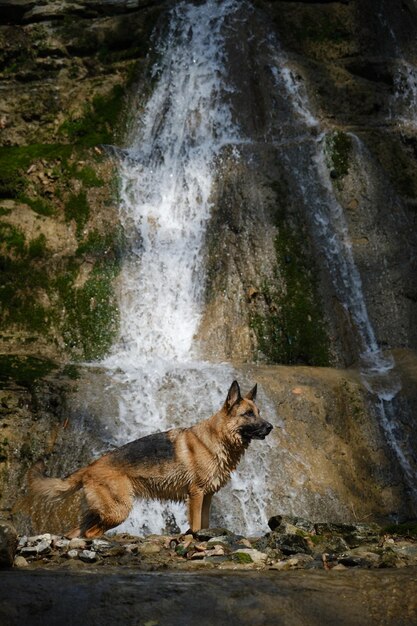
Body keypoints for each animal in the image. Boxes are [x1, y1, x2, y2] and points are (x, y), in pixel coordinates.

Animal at [28, 380, 270, 536]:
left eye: (258, 412)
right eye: (248, 414)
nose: (271, 427)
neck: (216, 438)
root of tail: (89, 466)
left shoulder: (207, 496)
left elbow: (204, 524)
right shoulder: (196, 494)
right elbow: (196, 526)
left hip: (102, 512)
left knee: (74, 533)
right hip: (118, 510)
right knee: (90, 534)